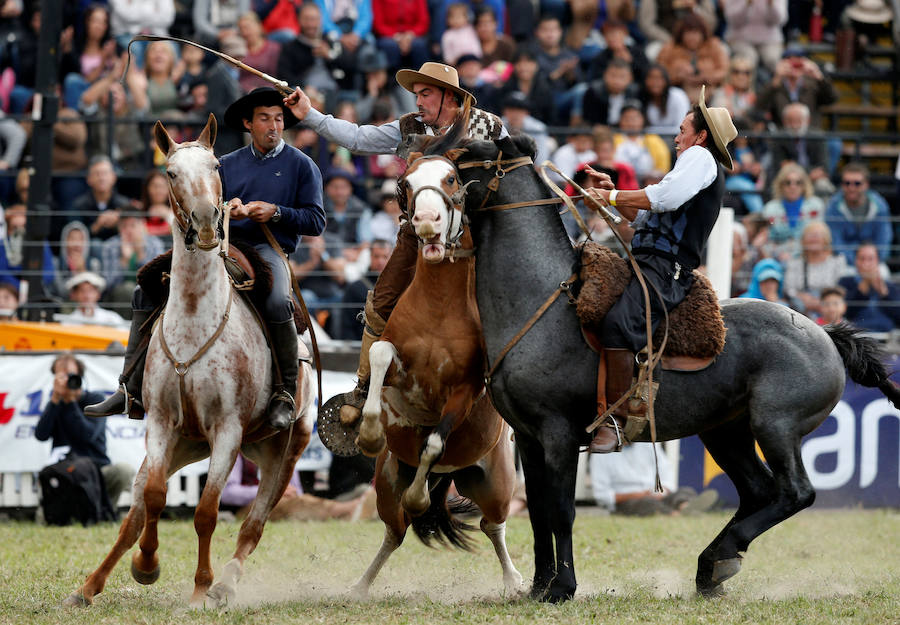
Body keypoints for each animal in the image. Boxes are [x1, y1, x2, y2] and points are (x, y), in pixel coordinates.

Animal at [64, 114, 315, 608]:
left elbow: (206, 512)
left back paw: (224, 585)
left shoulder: (227, 430)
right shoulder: (162, 423)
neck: (197, 320)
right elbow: (156, 498)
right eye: (170, 172)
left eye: (216, 166)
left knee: (253, 526)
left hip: (282, 453)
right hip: (185, 444)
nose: (205, 222)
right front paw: (146, 567)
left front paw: (200, 587)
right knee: (133, 517)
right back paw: (87, 587)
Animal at [350, 150, 523, 598]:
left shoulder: (464, 390)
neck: (439, 308)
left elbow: (432, 442)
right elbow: (378, 355)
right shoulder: (397, 363)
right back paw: (360, 585)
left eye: (451, 179)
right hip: (386, 483)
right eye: (406, 183)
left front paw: (419, 497)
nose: (427, 221)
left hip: (495, 484)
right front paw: (369, 433)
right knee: (394, 532)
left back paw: (514, 580)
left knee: (493, 525)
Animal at [408, 132, 900, 602]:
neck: (542, 302)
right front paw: (539, 585)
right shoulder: (529, 438)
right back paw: (714, 565)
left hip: (775, 426)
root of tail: (824, 334)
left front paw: (562, 588)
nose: (424, 221)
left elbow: (562, 511)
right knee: (760, 491)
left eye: (459, 165)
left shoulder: (559, 433)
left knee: (796, 492)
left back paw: (718, 559)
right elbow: (540, 514)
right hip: (726, 432)